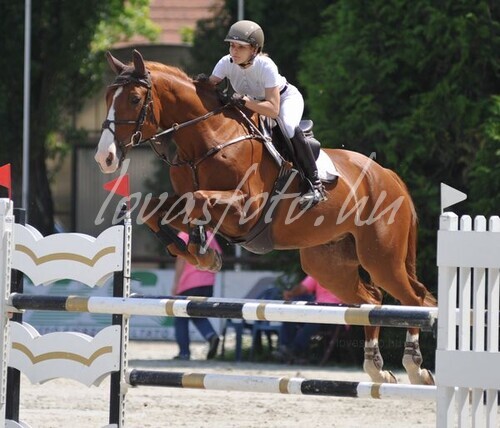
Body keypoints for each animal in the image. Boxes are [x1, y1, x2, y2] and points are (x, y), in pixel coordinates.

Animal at [95, 50, 436, 385]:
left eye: (134, 99)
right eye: (108, 96)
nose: (105, 158)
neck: (207, 141)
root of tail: (388, 175)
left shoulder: (246, 209)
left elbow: (198, 200)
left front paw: (203, 252)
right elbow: (154, 210)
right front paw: (196, 253)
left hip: (381, 258)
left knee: (417, 300)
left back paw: (416, 367)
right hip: (330, 265)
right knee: (372, 300)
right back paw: (376, 367)